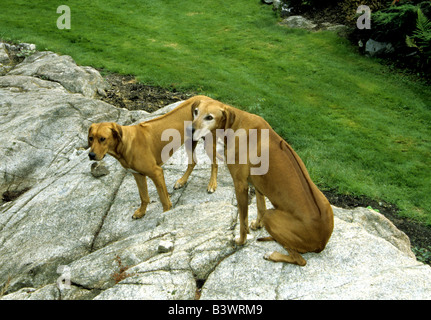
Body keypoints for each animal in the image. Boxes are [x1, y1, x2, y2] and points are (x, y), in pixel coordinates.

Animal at [87, 95, 219, 220]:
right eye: (90, 138)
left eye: (103, 139)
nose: (91, 155)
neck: (126, 143)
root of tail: (208, 99)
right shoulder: (138, 175)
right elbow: (144, 196)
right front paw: (141, 212)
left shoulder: (156, 172)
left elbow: (163, 199)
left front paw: (166, 214)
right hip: (190, 141)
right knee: (193, 162)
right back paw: (182, 181)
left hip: (208, 140)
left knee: (215, 163)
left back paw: (212, 184)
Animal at [191, 97, 336, 264]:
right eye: (196, 112)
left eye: (209, 117)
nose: (190, 129)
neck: (236, 124)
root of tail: (322, 243)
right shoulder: (258, 183)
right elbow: (260, 206)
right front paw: (257, 224)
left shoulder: (240, 184)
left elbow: (243, 220)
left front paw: (241, 240)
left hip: (272, 217)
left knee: (300, 260)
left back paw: (273, 254)